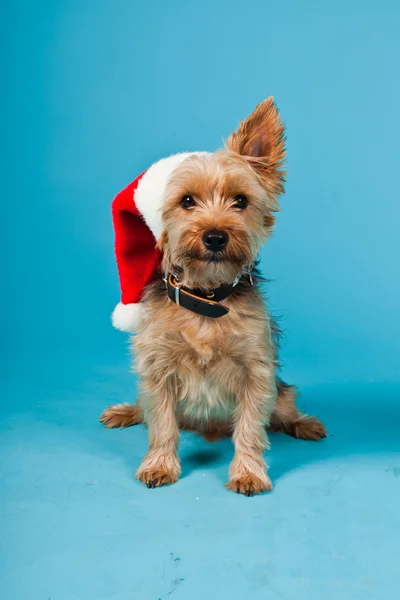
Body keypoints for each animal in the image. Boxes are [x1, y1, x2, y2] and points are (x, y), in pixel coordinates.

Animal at [99, 98, 324, 496]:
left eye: (241, 201)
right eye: (186, 201)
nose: (216, 236)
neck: (205, 297)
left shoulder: (257, 371)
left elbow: (251, 428)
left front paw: (248, 472)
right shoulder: (157, 369)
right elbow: (162, 425)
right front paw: (159, 464)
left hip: (281, 392)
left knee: (284, 408)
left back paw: (305, 423)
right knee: (147, 409)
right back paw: (127, 411)